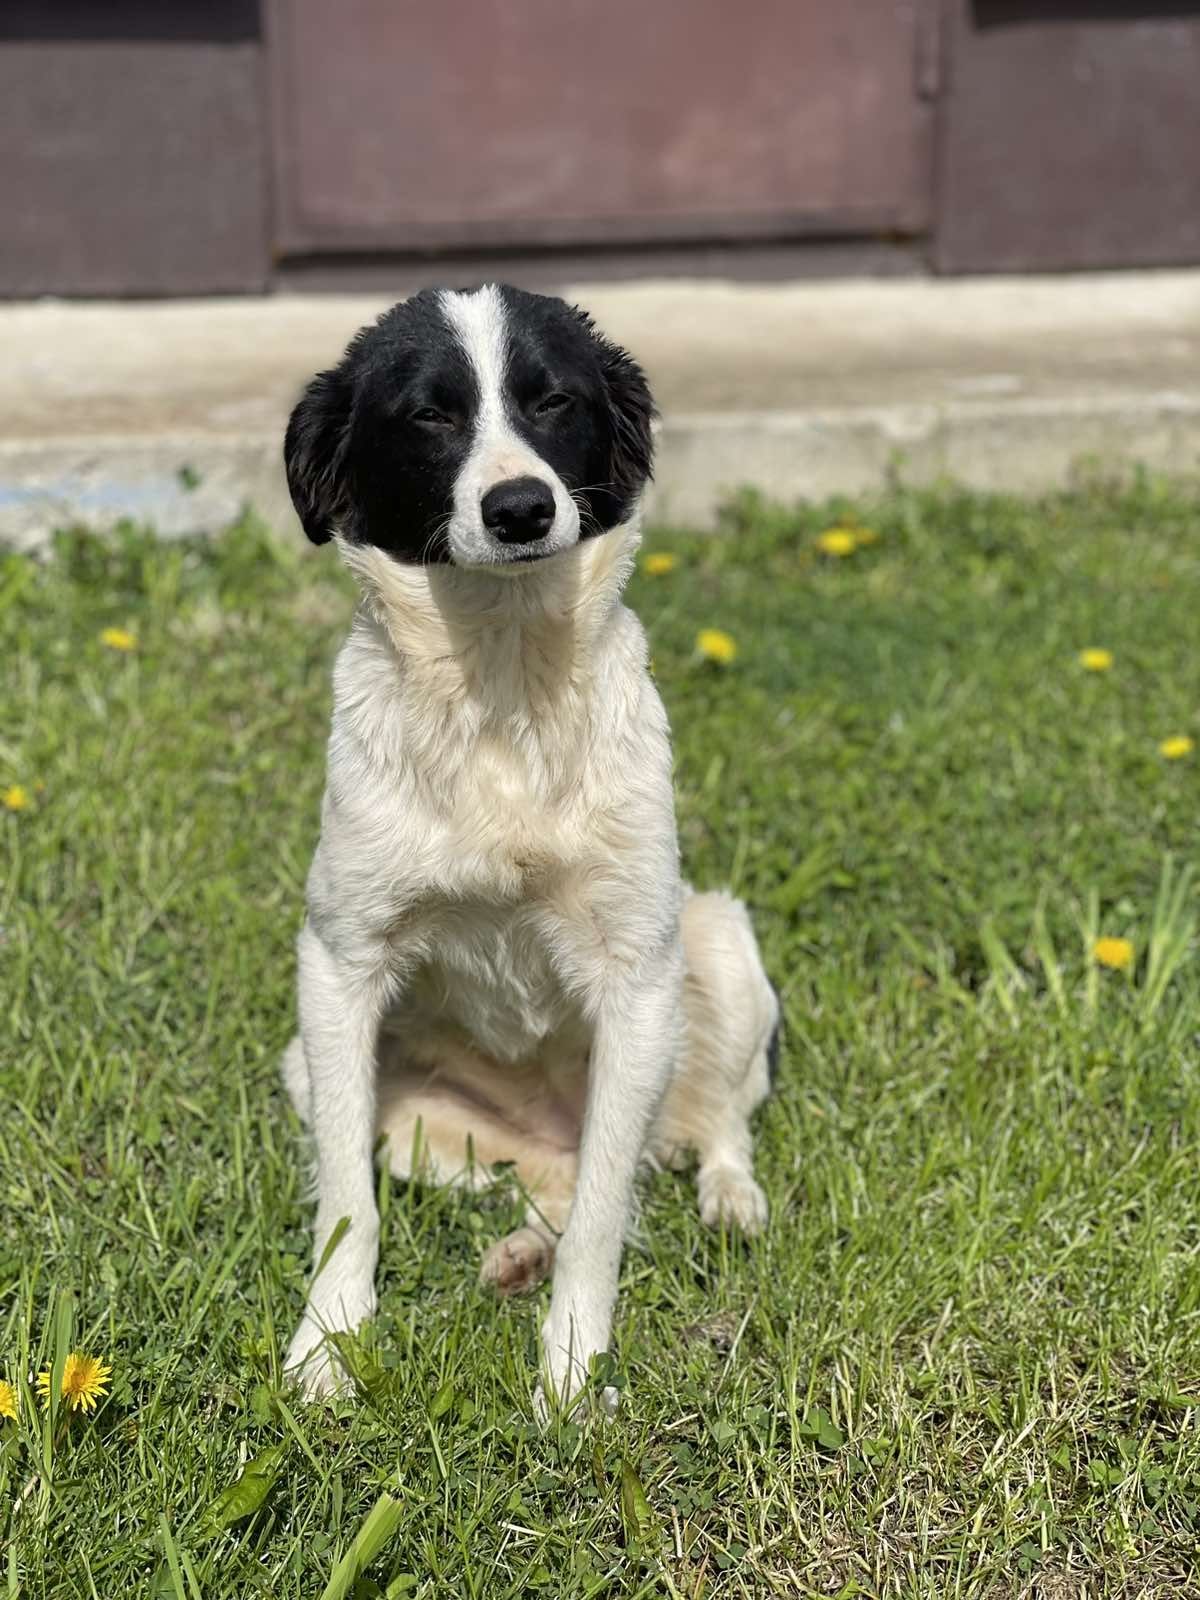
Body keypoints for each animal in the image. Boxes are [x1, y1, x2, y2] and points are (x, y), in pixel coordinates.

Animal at [280, 281, 780, 1408]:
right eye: (429, 416)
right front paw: (329, 1344)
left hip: (717, 946)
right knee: (550, 1183)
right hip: (337, 1080)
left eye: (553, 402)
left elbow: (603, 1223)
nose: (520, 508)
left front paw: (572, 1372)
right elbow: (345, 1204)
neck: (501, 684)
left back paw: (728, 1199)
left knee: (695, 1135)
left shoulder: (639, 975)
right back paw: (517, 1254)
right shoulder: (339, 962)